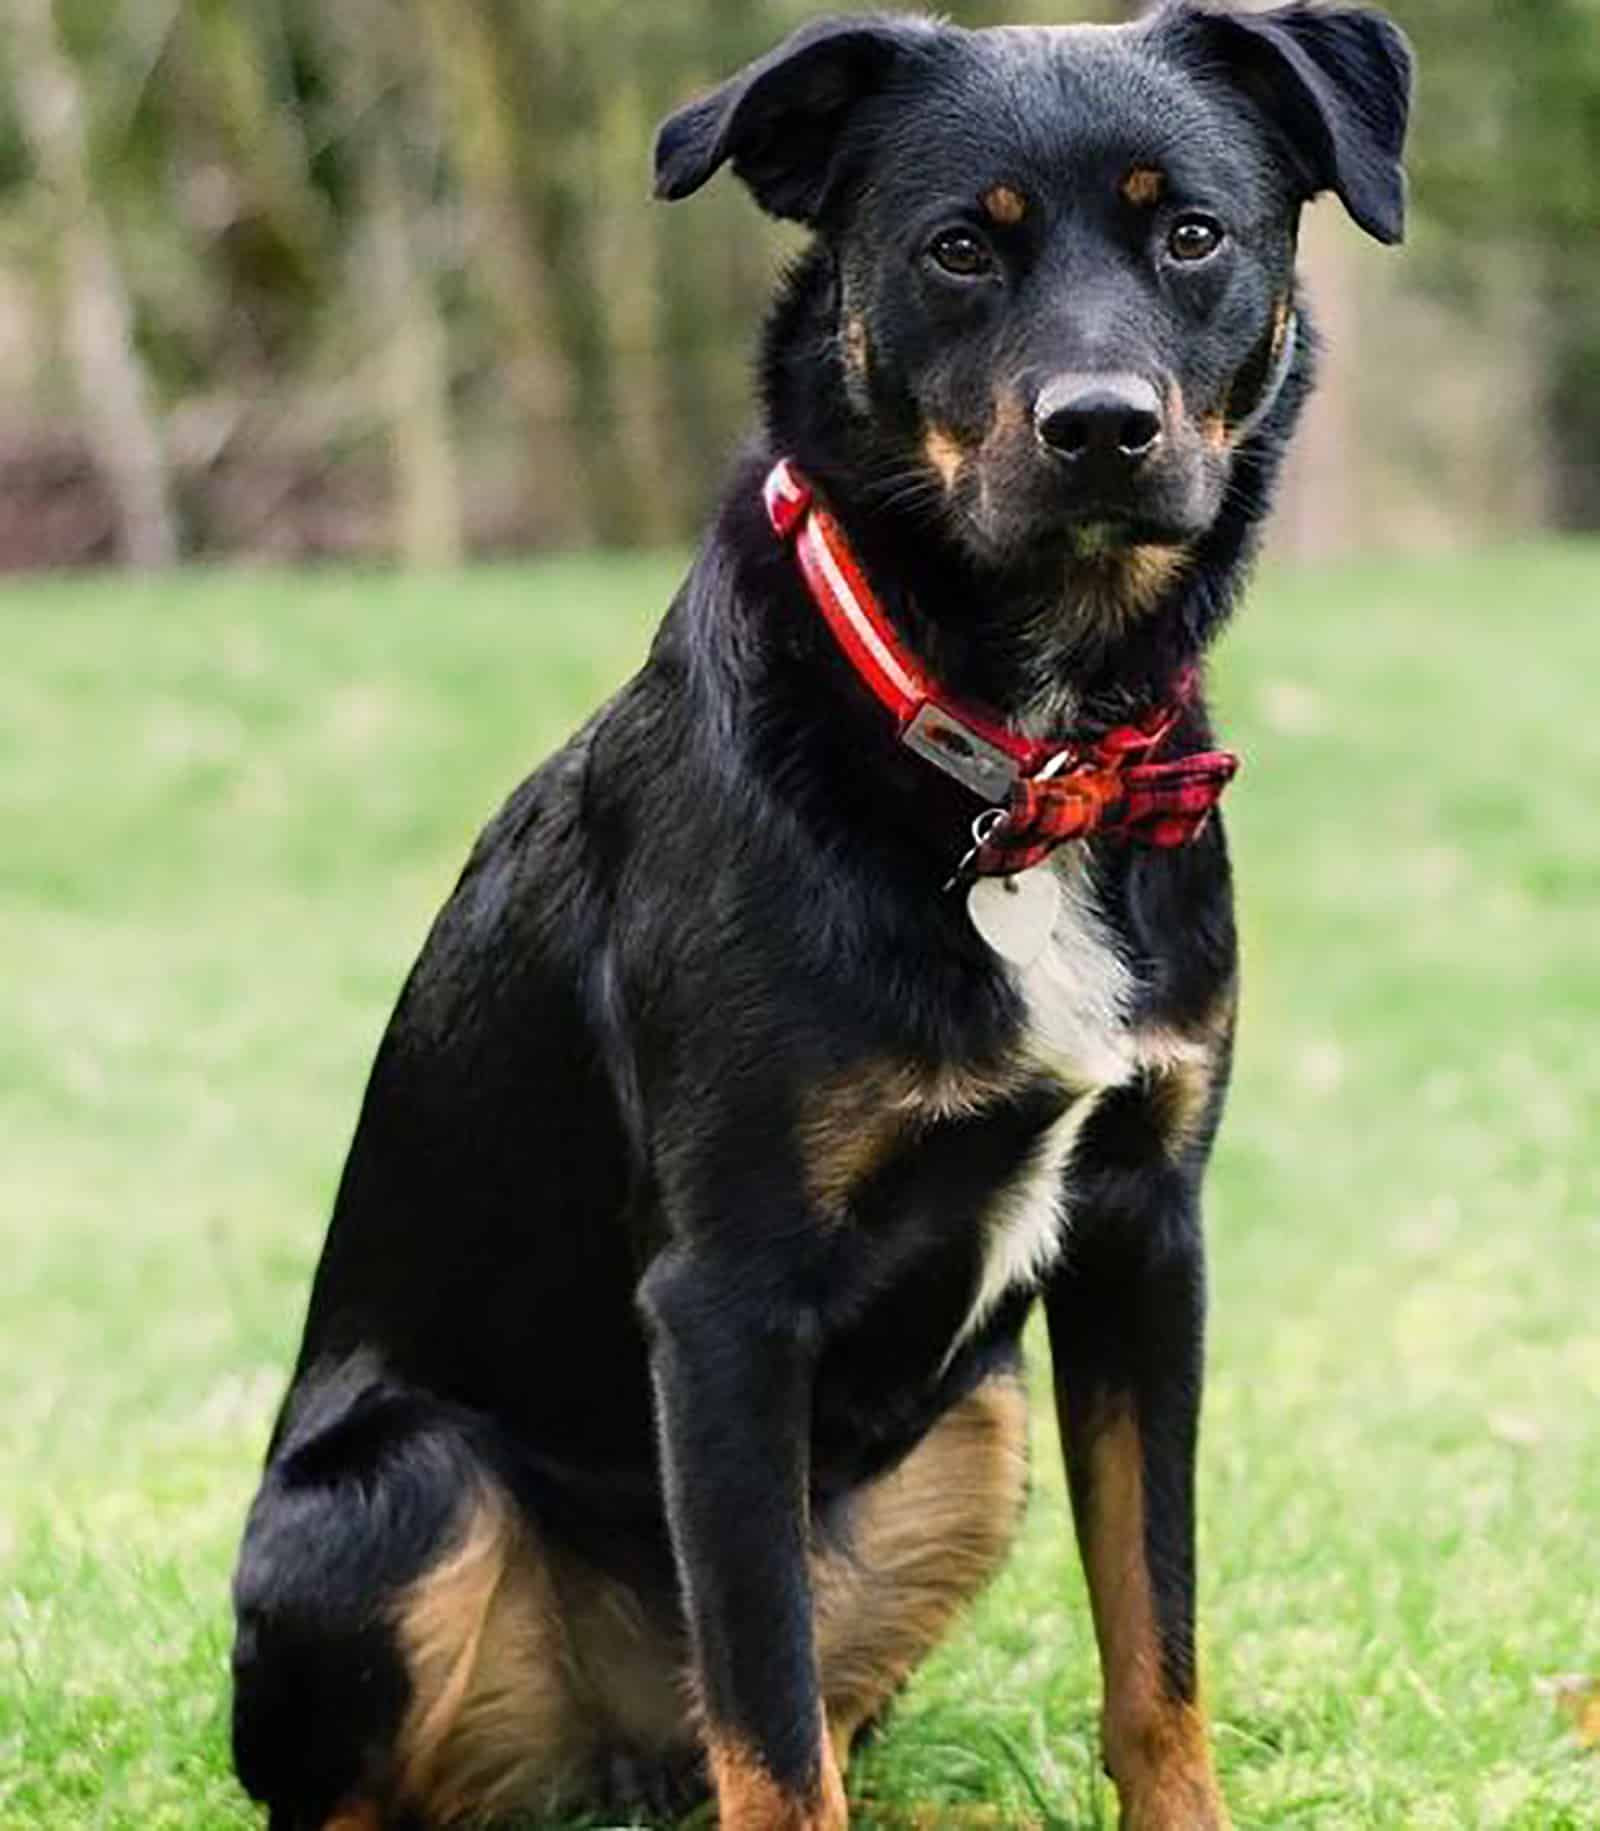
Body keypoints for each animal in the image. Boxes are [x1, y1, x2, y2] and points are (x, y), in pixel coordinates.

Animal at [227, 7, 1405, 1823]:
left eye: (1194, 235)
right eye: (959, 249)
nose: (1102, 426)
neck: (1018, 756)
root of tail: (607, 1757)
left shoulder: (1148, 1240)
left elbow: (1158, 1657)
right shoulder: (724, 1302)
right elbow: (772, 1729)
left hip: (975, 1426)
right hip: (401, 1496)